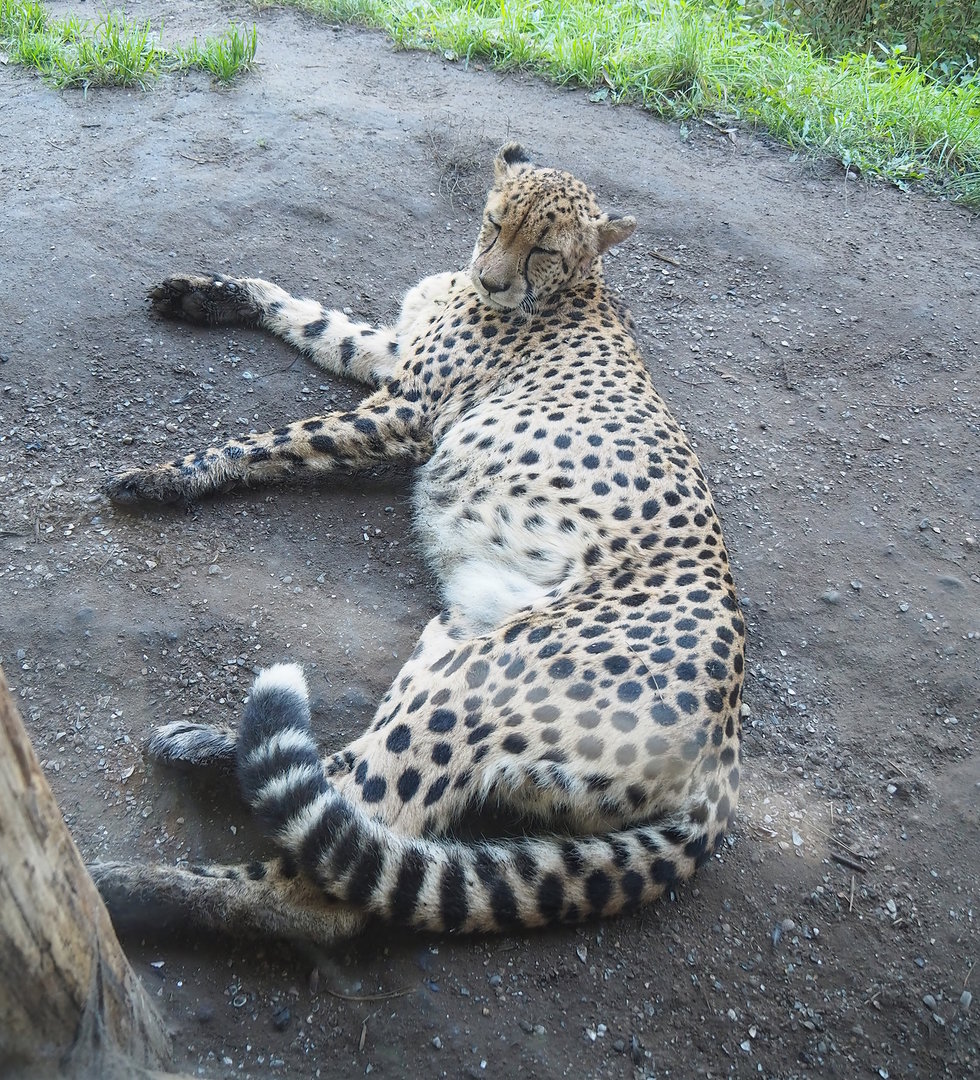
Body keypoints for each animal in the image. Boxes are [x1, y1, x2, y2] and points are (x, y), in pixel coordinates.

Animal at [90, 144, 745, 946]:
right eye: (495, 221)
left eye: (545, 249)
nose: (492, 281)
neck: (569, 288)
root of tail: (725, 760)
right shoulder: (392, 352)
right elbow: (313, 317)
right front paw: (209, 295)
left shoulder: (405, 412)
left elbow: (274, 439)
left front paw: (166, 475)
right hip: (451, 642)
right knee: (335, 788)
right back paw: (206, 744)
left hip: (481, 682)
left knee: (330, 877)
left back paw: (126, 888)